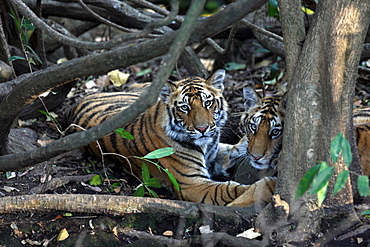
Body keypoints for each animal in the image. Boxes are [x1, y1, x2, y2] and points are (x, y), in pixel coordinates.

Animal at [66, 70, 274, 207]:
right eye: (184, 108)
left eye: (208, 103)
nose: (203, 129)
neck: (205, 145)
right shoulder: (192, 184)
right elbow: (232, 189)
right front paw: (267, 186)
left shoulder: (214, 155)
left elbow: (230, 151)